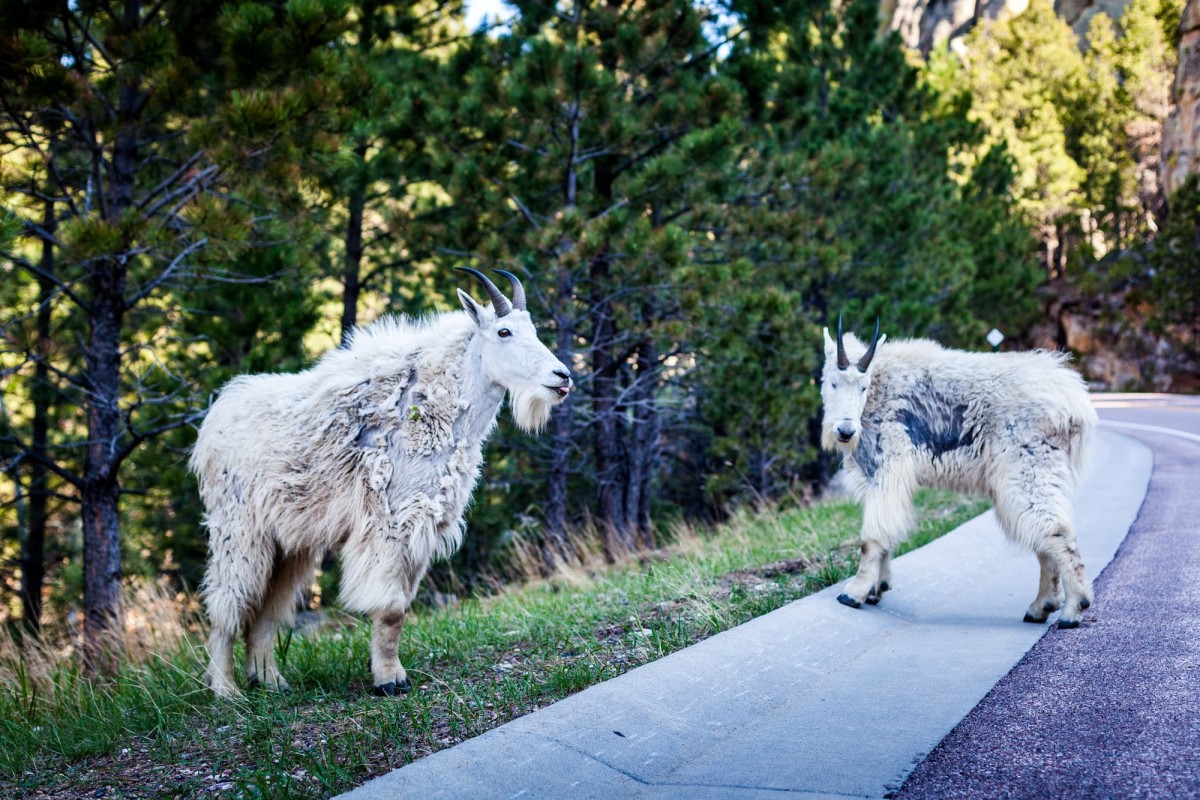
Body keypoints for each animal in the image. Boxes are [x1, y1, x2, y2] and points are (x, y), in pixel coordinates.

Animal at [190, 268, 571, 695]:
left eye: (534, 330)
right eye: (504, 332)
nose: (562, 376)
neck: (438, 404)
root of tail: (212, 425)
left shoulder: (425, 524)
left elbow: (402, 605)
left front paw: (389, 673)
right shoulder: (391, 521)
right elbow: (390, 608)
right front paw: (389, 680)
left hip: (289, 543)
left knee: (267, 609)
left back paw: (271, 681)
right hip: (239, 529)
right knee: (226, 603)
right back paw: (226, 689)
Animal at [825, 316, 1099, 623]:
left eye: (863, 386)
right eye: (832, 382)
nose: (845, 431)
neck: (878, 388)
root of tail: (1073, 402)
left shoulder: (888, 466)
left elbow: (872, 536)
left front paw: (855, 592)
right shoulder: (876, 476)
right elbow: (886, 533)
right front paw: (877, 589)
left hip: (1026, 470)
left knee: (1055, 532)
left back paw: (1073, 608)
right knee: (1044, 537)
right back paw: (1042, 606)